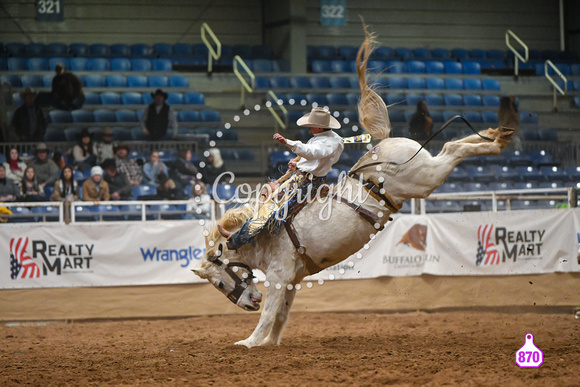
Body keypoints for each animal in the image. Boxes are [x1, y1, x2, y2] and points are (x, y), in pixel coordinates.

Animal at [191, 27, 512, 348]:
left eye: (219, 282)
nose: (247, 304)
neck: (262, 235)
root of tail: (385, 144)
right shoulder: (293, 278)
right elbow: (282, 313)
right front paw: (270, 343)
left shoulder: (280, 275)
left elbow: (269, 313)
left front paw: (248, 343)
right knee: (451, 146)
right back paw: (496, 134)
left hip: (425, 178)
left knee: (451, 149)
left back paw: (496, 142)